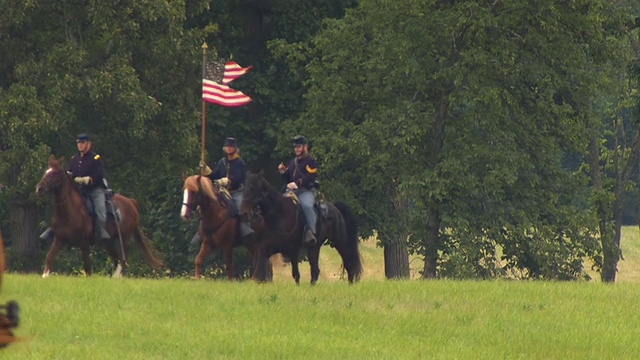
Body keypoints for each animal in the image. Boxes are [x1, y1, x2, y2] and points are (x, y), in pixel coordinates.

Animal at [34, 156, 165, 278]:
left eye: (54, 173)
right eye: (46, 172)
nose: (39, 188)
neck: (70, 212)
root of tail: (131, 202)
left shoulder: (84, 243)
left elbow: (87, 267)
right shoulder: (59, 239)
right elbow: (49, 257)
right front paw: (45, 276)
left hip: (124, 237)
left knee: (123, 258)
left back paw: (116, 276)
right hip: (109, 242)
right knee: (117, 258)